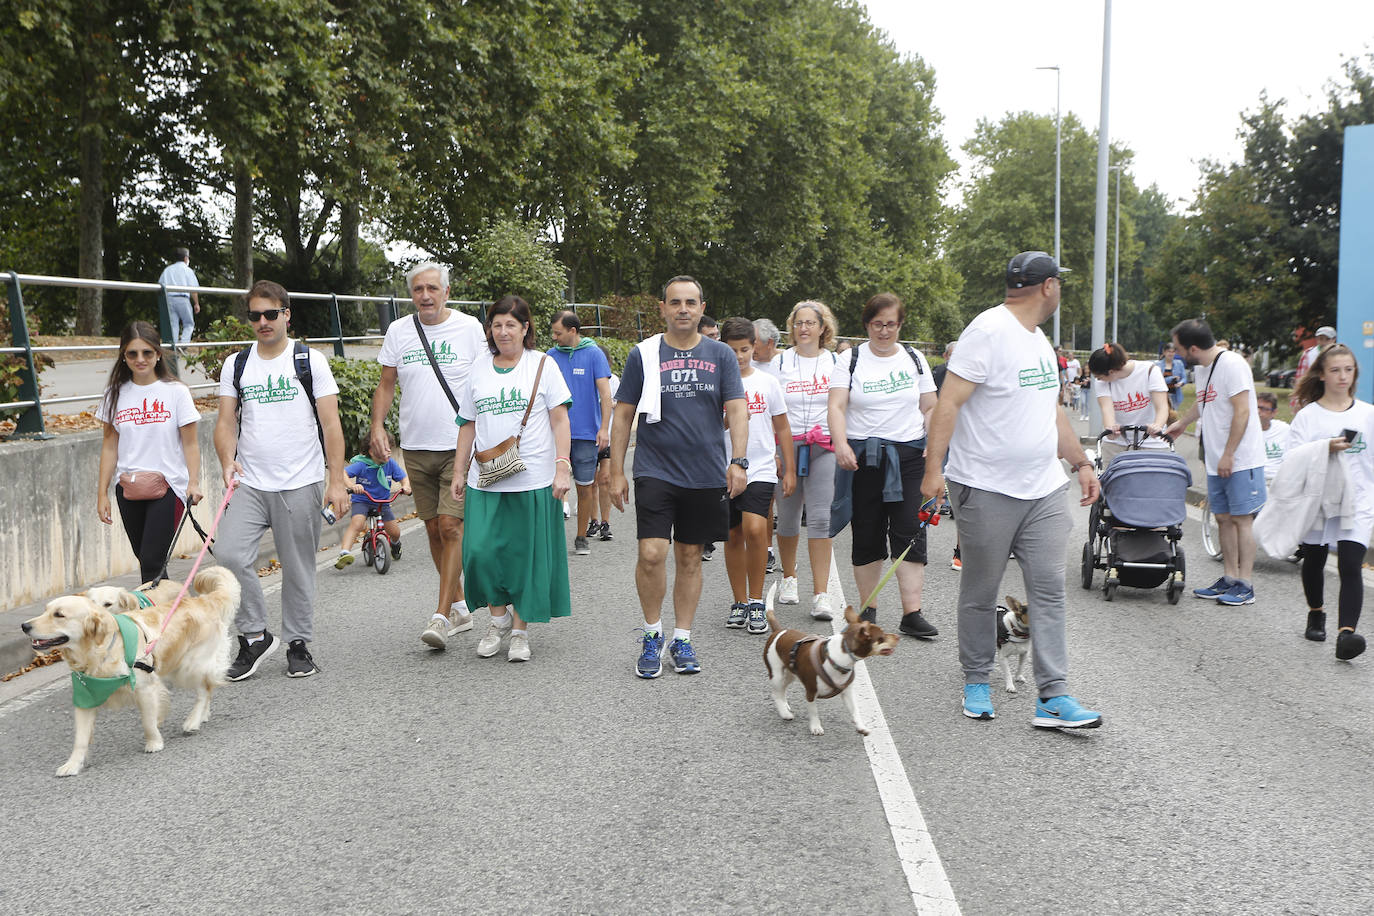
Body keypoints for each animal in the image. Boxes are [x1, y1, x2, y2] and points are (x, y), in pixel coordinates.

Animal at [21, 568, 240, 780]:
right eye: (46, 610)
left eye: (59, 615)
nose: (25, 626)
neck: (101, 651)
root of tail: (203, 600)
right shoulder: (86, 694)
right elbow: (80, 739)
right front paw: (72, 765)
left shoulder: (144, 687)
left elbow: (147, 721)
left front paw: (154, 743)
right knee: (209, 686)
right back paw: (202, 716)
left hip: (188, 665)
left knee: (204, 689)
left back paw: (193, 720)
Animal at [763, 601, 901, 736]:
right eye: (881, 637)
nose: (897, 637)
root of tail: (779, 631)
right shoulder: (811, 692)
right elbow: (814, 712)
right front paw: (816, 727)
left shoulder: (847, 692)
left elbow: (855, 711)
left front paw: (861, 727)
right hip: (776, 675)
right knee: (776, 693)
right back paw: (785, 713)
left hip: (790, 674)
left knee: (782, 690)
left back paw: (785, 706)